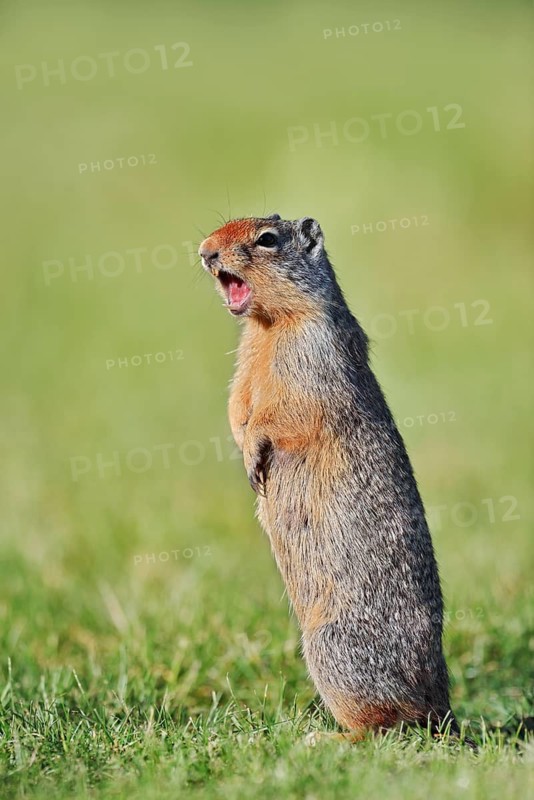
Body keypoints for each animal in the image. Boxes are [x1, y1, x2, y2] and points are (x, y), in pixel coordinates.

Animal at [199, 214, 456, 741]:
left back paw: (324, 736)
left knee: (382, 726)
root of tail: (441, 704)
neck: (269, 325)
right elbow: (237, 400)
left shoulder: (311, 354)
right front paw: (244, 450)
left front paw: (254, 454)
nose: (204, 251)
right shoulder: (246, 361)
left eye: (267, 239)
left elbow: (283, 411)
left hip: (334, 652)